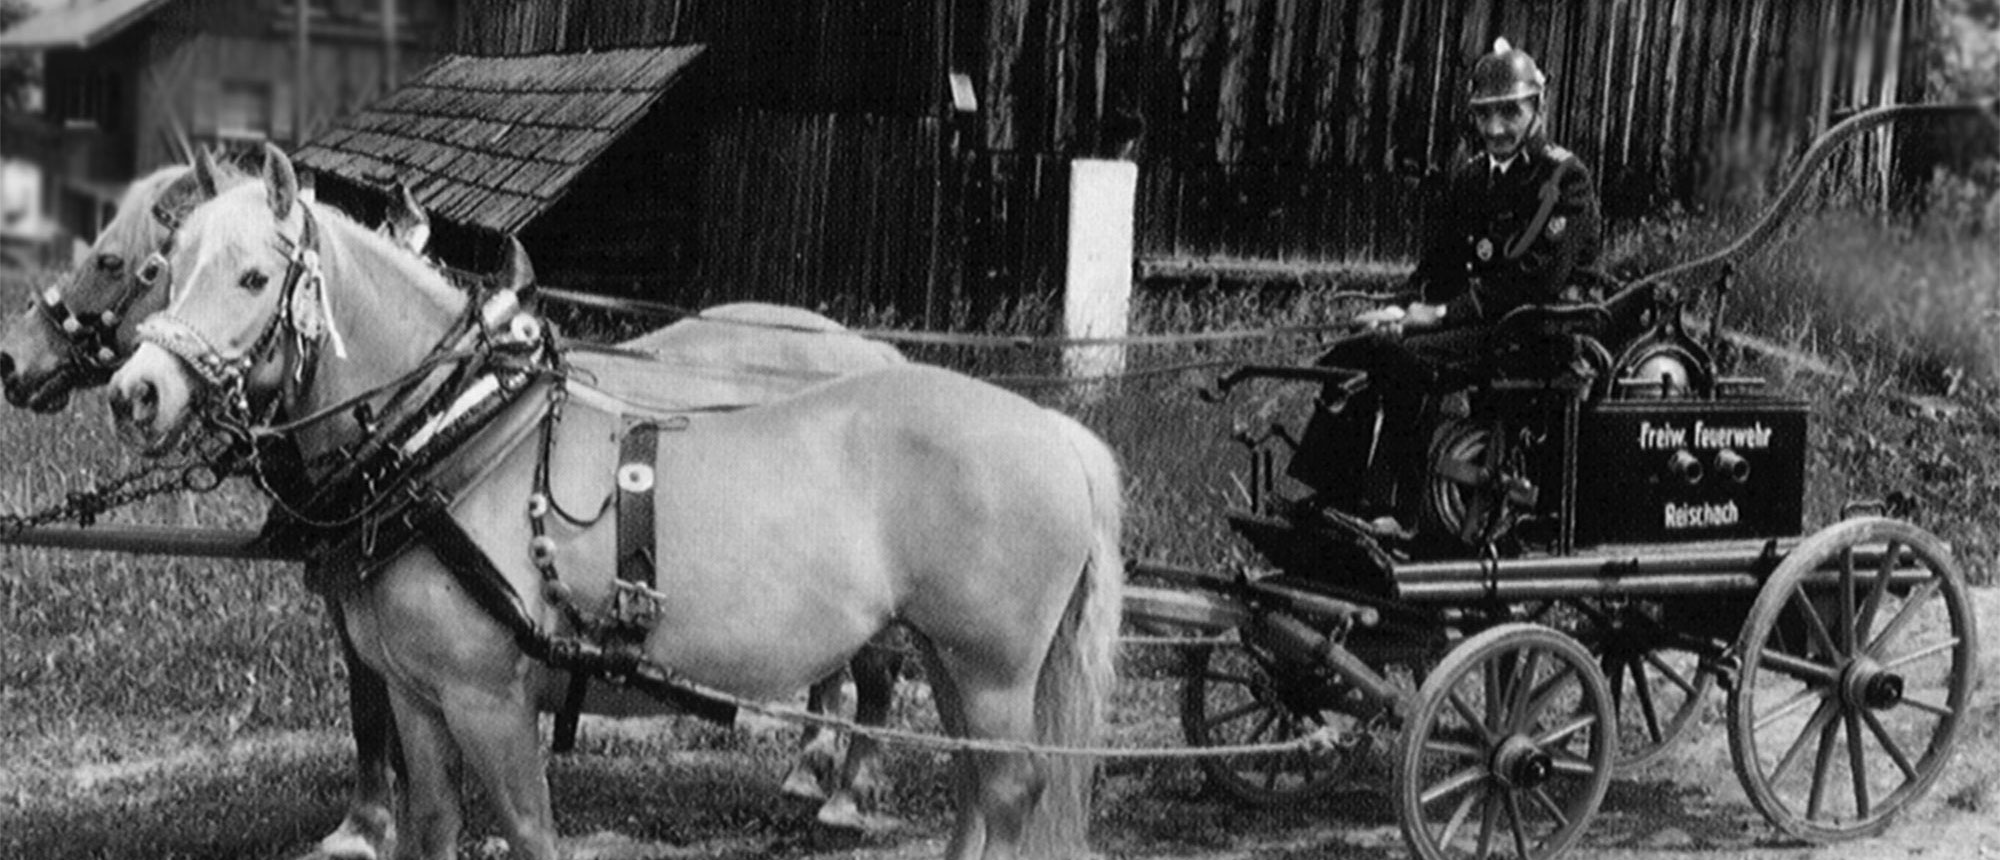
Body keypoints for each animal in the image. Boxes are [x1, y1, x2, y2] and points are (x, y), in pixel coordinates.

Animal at [105, 145, 1121, 860]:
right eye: (167, 272)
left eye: (252, 277)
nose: (135, 394)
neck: (454, 441)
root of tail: (1054, 431)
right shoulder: (419, 700)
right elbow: (431, 827)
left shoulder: (490, 703)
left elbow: (529, 833)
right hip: (956, 662)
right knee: (975, 788)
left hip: (991, 669)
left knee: (1005, 789)